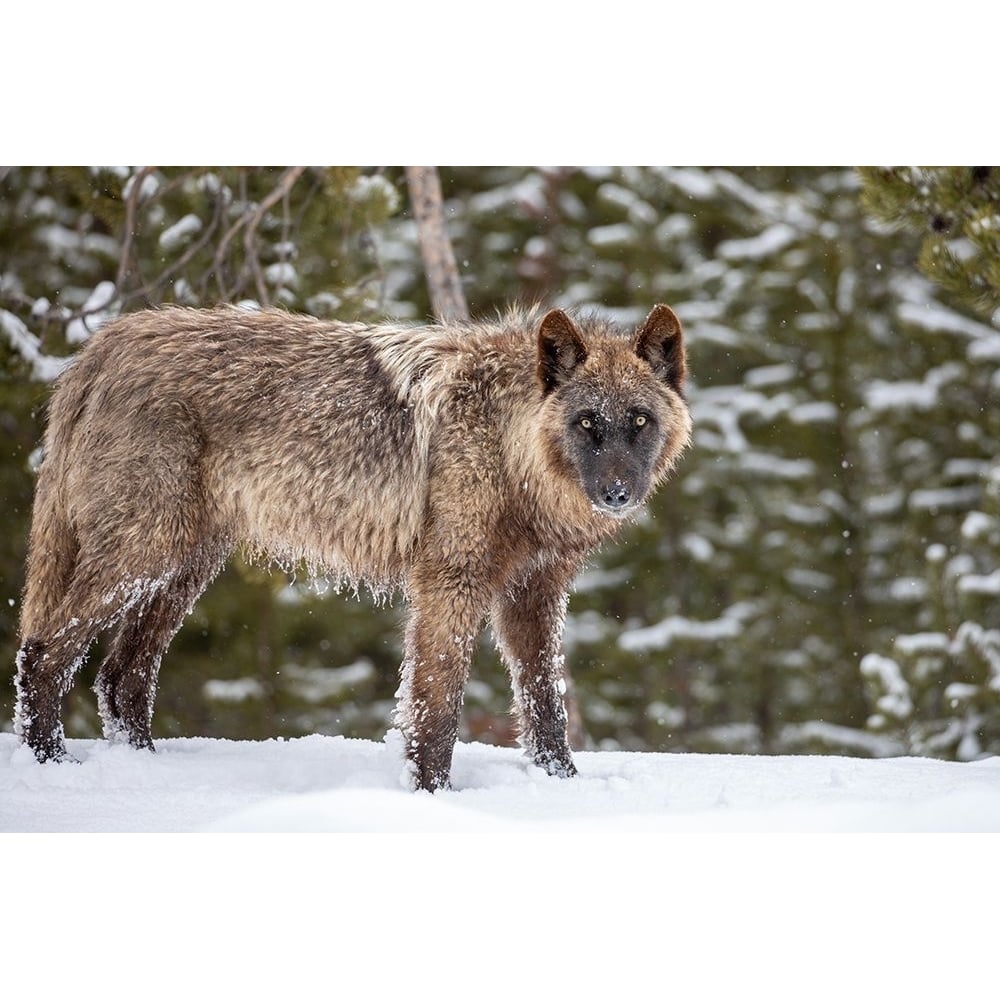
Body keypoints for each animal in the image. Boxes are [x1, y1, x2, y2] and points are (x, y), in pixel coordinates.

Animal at [13, 304, 688, 788]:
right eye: (587, 423)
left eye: (639, 421)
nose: (617, 492)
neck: (507, 444)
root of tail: (101, 346)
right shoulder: (450, 584)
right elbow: (436, 707)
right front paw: (433, 796)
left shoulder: (534, 596)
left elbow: (546, 706)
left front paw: (562, 788)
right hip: (144, 558)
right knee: (43, 653)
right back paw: (55, 768)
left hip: (181, 570)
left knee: (120, 678)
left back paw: (144, 772)